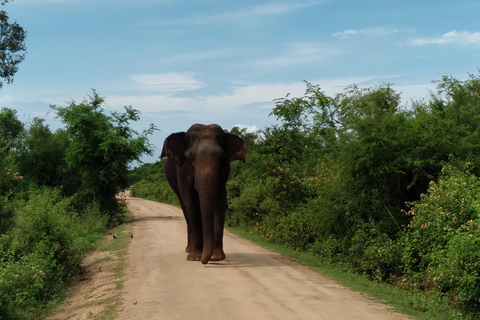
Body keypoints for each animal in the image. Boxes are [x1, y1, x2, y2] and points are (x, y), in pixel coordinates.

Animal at [161, 124, 246, 264]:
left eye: (222, 157)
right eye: (190, 156)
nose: (204, 261)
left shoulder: (224, 171)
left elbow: (220, 202)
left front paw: (216, 257)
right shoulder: (182, 170)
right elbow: (191, 203)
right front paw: (195, 258)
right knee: (185, 207)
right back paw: (190, 250)